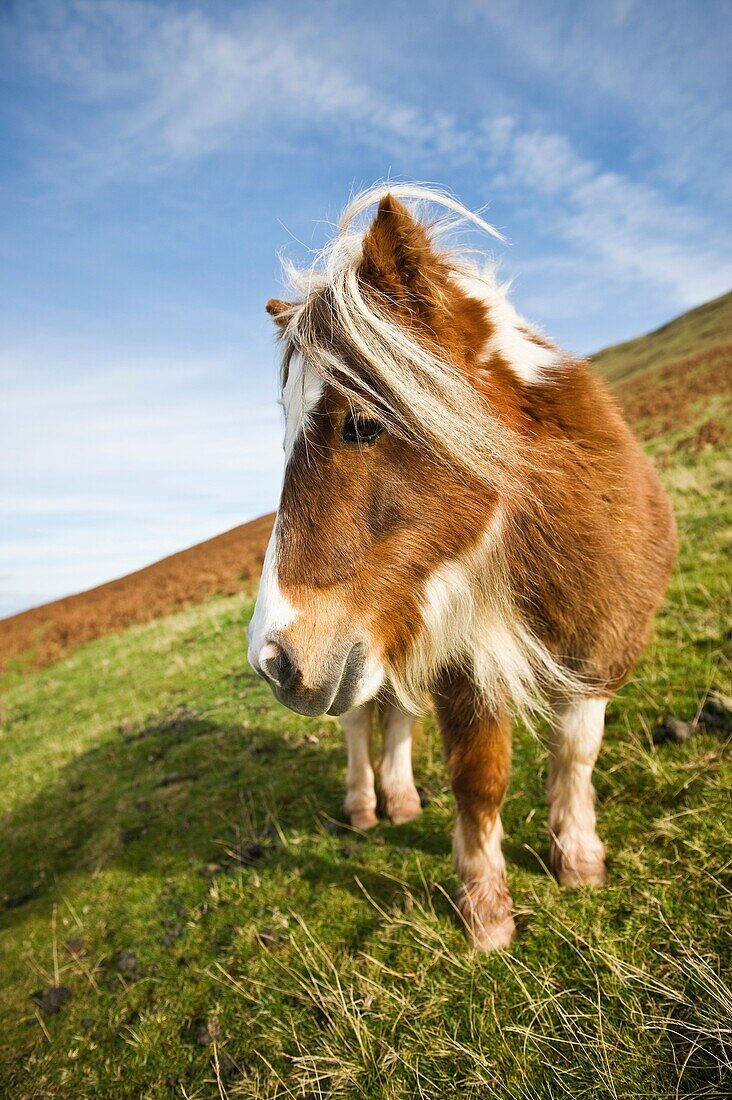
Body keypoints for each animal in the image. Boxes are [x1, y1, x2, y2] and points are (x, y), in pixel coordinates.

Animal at [248, 184, 678, 950]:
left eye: (361, 423)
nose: (273, 659)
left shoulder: (600, 650)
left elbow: (576, 754)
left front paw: (578, 860)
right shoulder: (466, 673)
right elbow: (481, 782)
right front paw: (487, 913)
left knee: (393, 717)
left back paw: (401, 800)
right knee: (361, 725)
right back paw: (365, 805)